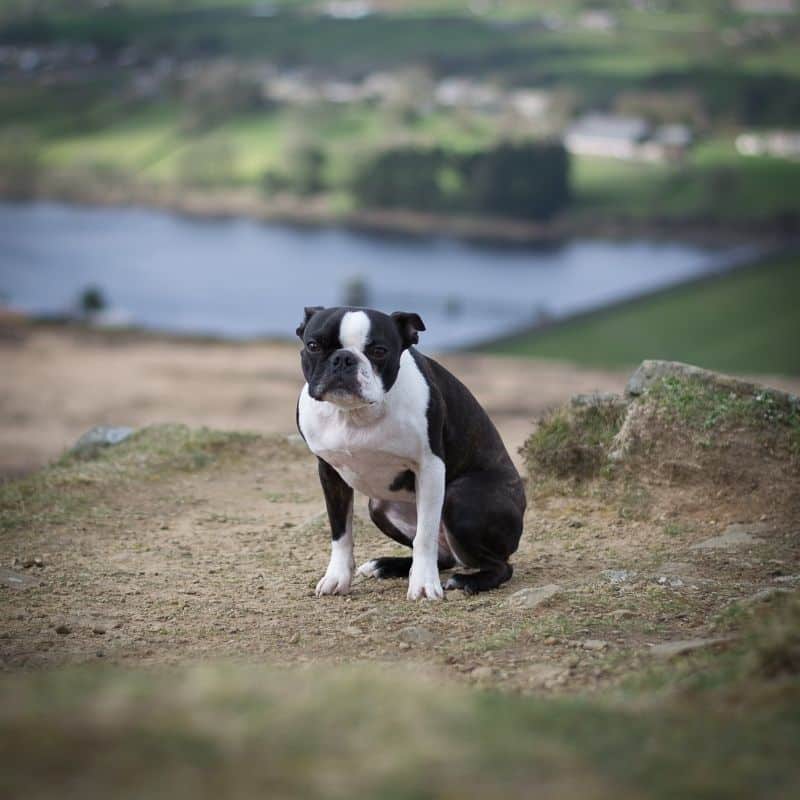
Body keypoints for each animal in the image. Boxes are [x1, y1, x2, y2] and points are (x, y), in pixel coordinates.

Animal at [294, 306, 524, 600]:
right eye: (313, 345)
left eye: (379, 351)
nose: (344, 358)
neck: (355, 414)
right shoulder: (328, 470)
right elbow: (340, 531)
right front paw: (337, 578)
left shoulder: (430, 467)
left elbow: (424, 536)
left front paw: (424, 585)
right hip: (379, 508)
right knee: (445, 556)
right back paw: (385, 565)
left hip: (460, 498)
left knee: (500, 565)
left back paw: (467, 581)